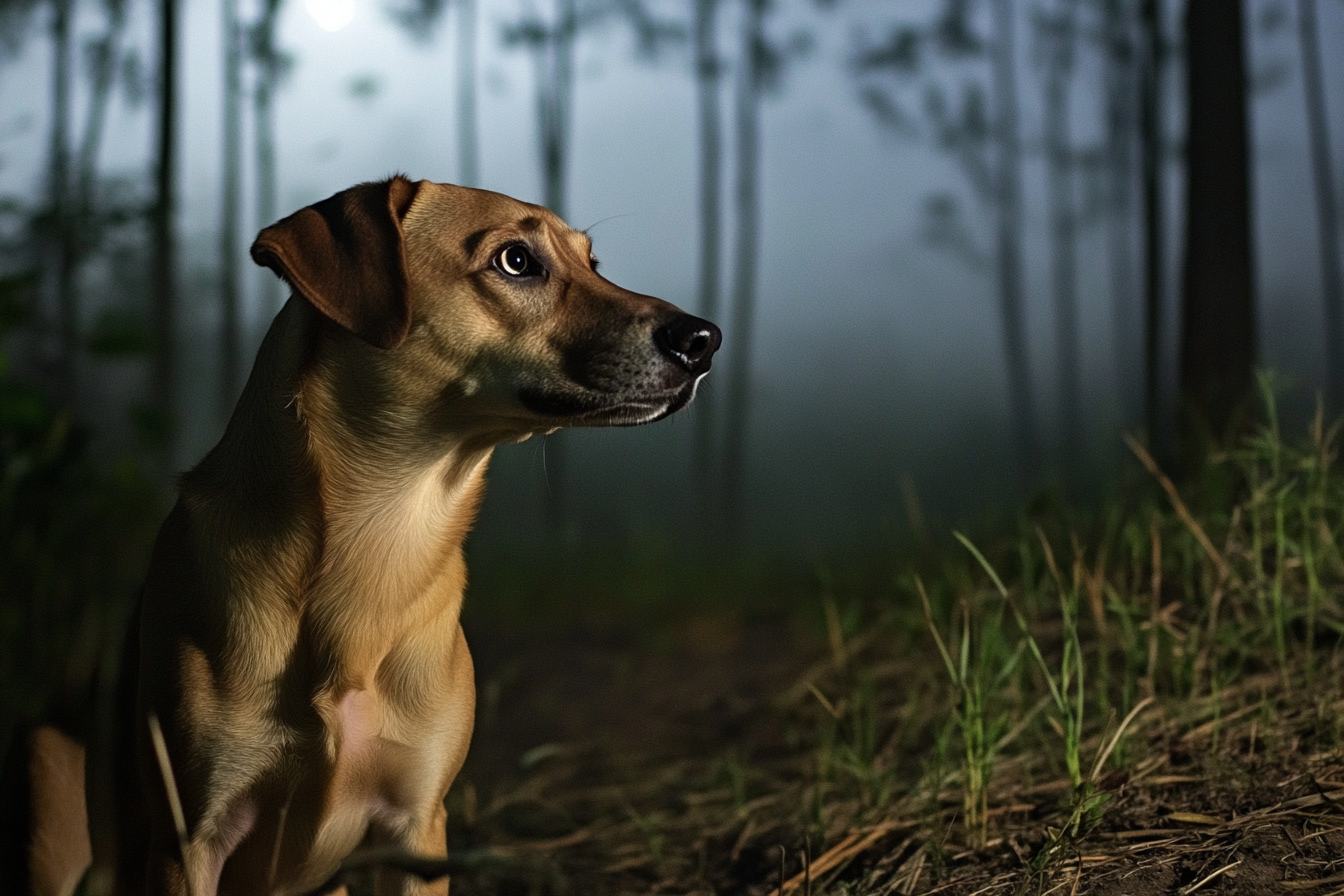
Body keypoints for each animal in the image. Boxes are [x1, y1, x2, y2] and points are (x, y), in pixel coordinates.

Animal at [10, 177, 720, 896]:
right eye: (516, 261)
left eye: (593, 263)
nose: (705, 338)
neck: (377, 535)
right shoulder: (191, 839)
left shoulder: (416, 826)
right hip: (46, 781)